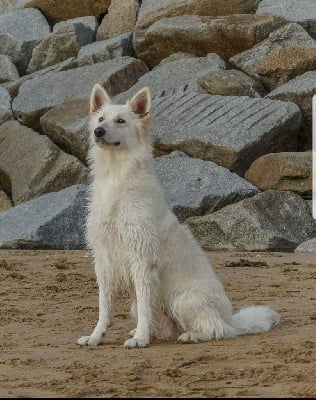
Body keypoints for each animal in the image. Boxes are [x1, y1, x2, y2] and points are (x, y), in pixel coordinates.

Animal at [78, 86, 280, 348]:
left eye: (120, 121)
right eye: (101, 119)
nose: (98, 131)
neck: (116, 176)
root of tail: (230, 318)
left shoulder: (142, 259)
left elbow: (145, 307)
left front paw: (140, 340)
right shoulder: (103, 260)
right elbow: (105, 307)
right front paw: (96, 337)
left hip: (183, 299)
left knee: (217, 329)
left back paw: (190, 335)